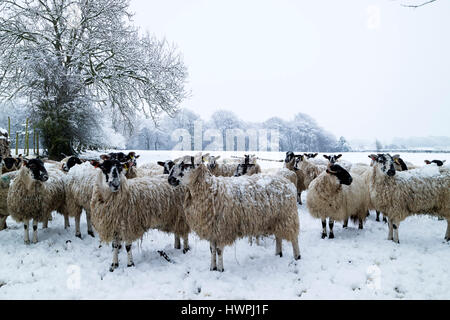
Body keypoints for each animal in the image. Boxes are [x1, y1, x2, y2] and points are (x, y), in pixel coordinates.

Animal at [167, 160, 300, 272]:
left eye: (186, 164)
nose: (170, 179)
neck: (211, 190)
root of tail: (286, 182)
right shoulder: (212, 230)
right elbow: (212, 250)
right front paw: (212, 268)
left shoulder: (221, 229)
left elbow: (219, 251)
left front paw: (220, 269)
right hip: (277, 219)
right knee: (278, 237)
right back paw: (278, 253)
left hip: (288, 216)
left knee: (294, 238)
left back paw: (297, 256)